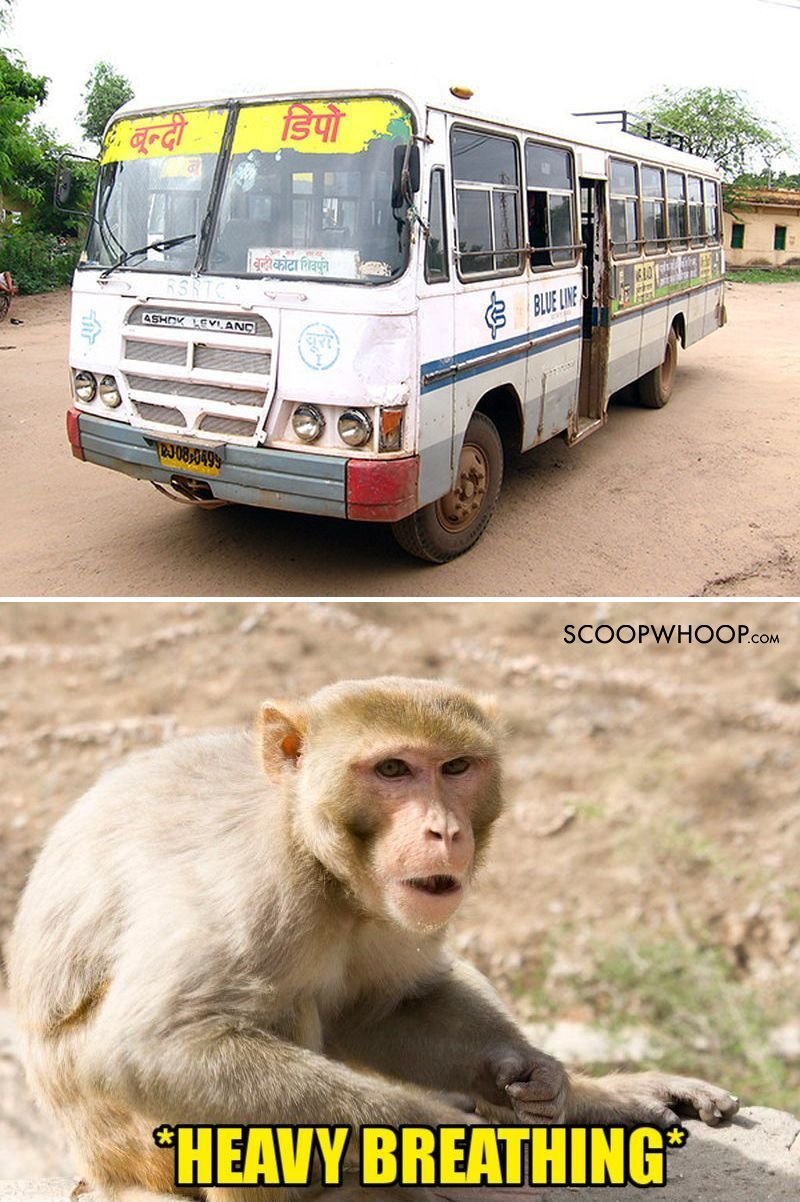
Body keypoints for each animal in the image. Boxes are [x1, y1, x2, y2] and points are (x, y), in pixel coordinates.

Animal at [9, 677, 739, 1202]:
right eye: (392, 770)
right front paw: (446, 1149)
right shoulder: (249, 887)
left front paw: (536, 1074)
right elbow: (153, 1045)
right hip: (130, 1146)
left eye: (457, 767)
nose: (444, 830)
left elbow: (392, 1005)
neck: (325, 868)